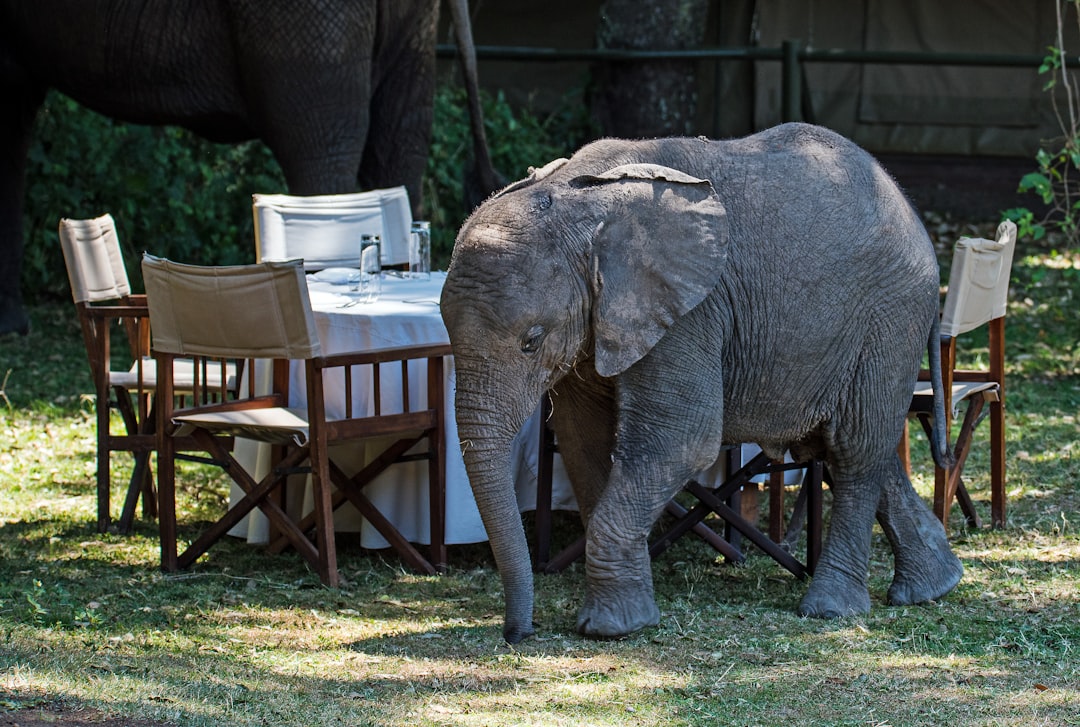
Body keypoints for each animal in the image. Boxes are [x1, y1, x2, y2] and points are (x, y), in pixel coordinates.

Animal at [438, 123, 963, 639]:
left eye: (532, 340)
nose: (521, 633)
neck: (578, 197)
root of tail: (911, 212)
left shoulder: (692, 311)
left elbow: (679, 442)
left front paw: (610, 628)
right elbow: (583, 442)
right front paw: (629, 616)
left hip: (890, 317)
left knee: (854, 450)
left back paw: (831, 609)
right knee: (850, 448)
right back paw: (932, 588)